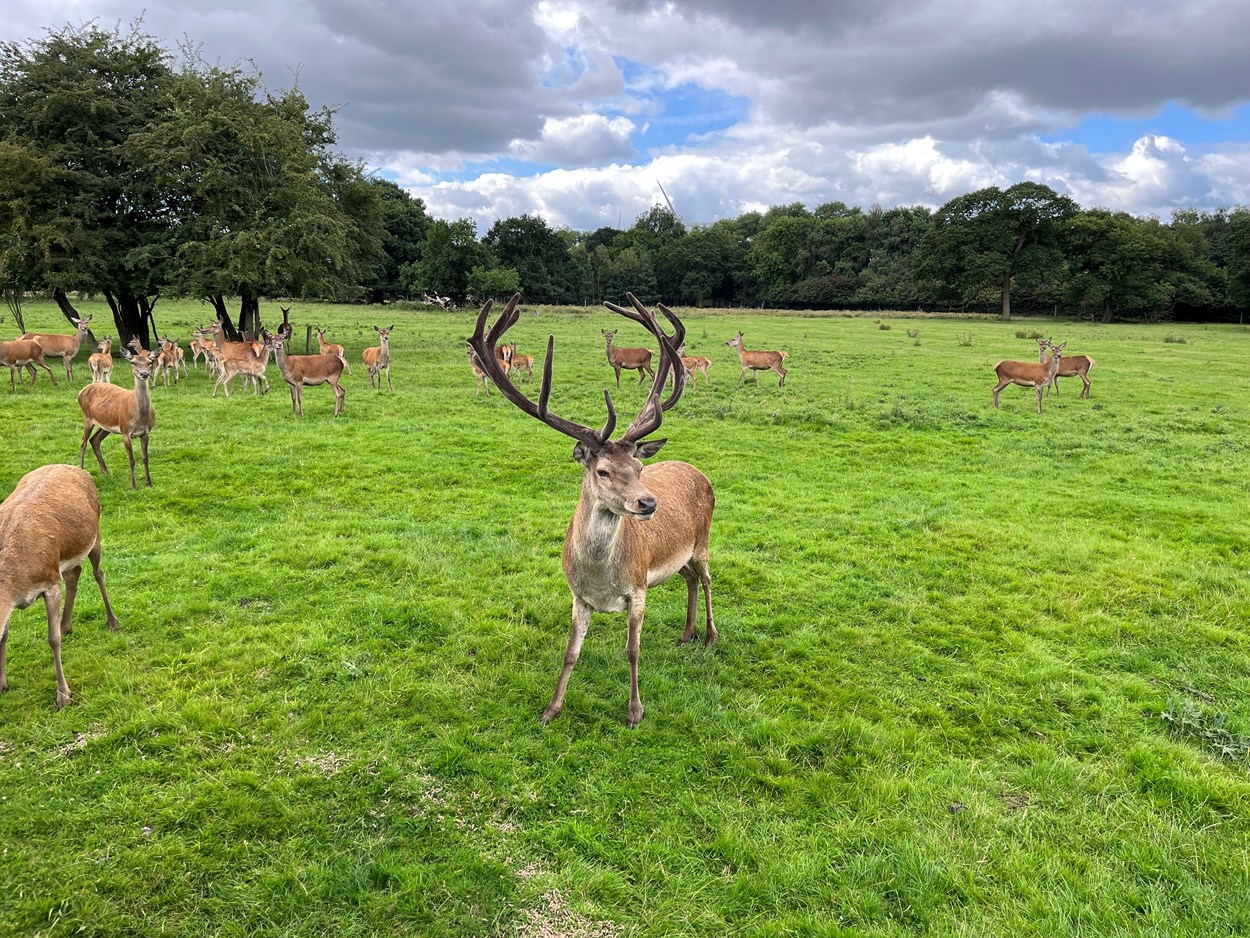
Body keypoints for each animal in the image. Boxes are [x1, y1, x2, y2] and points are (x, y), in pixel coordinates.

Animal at [1, 467, 120, 710]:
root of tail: (76, 468)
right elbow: (5, 635)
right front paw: (2, 685)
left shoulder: (50, 583)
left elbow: (52, 639)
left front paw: (64, 695)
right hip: (64, 559)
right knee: (74, 573)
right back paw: (66, 625)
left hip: (95, 535)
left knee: (98, 573)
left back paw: (112, 622)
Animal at [77, 345, 158, 492]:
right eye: (133, 362)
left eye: (150, 362)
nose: (144, 374)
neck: (139, 418)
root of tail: (81, 391)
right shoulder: (125, 431)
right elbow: (131, 459)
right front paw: (133, 486)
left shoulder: (145, 432)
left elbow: (145, 457)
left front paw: (149, 483)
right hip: (87, 417)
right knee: (83, 442)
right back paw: (81, 469)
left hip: (106, 425)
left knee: (94, 440)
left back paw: (105, 471)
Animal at [470, 292, 720, 725]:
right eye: (602, 470)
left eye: (639, 468)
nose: (648, 502)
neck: (603, 579)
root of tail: (698, 471)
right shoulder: (578, 596)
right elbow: (570, 653)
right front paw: (551, 710)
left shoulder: (638, 589)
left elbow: (632, 651)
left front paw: (635, 711)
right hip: (680, 555)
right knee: (689, 578)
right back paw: (687, 634)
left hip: (703, 540)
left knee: (706, 579)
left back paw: (709, 635)